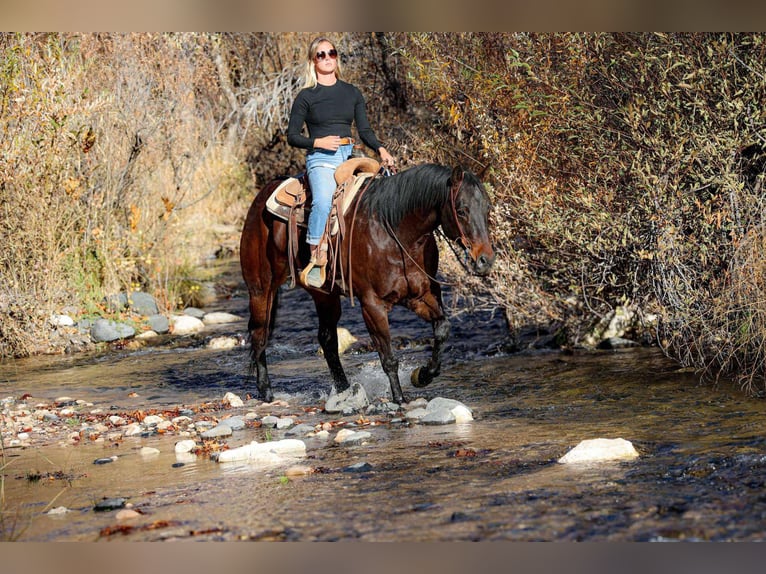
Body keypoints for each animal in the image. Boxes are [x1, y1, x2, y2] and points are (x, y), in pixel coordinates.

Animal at [239, 163, 495, 405]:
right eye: (461, 210)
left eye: (487, 208)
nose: (486, 260)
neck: (397, 233)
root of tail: (262, 196)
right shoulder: (372, 305)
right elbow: (388, 357)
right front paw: (399, 399)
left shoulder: (420, 296)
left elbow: (442, 329)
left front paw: (422, 375)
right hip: (261, 289)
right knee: (260, 335)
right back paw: (266, 392)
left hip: (324, 295)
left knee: (327, 339)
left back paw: (343, 390)